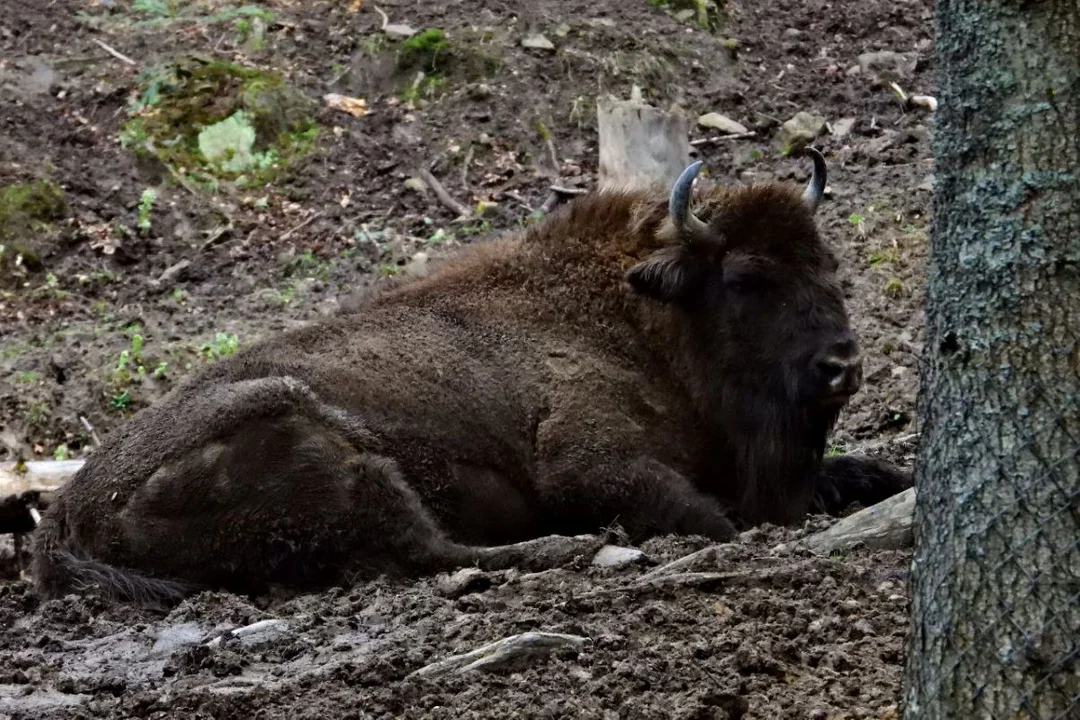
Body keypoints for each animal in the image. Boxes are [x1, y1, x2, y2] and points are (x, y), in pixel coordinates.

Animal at [31, 148, 911, 604]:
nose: (844, 364)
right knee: (429, 550)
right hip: (310, 432)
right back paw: (569, 549)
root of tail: (63, 515)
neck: (639, 317)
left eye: (829, 266)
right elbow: (712, 519)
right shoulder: (587, 463)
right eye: (747, 277)